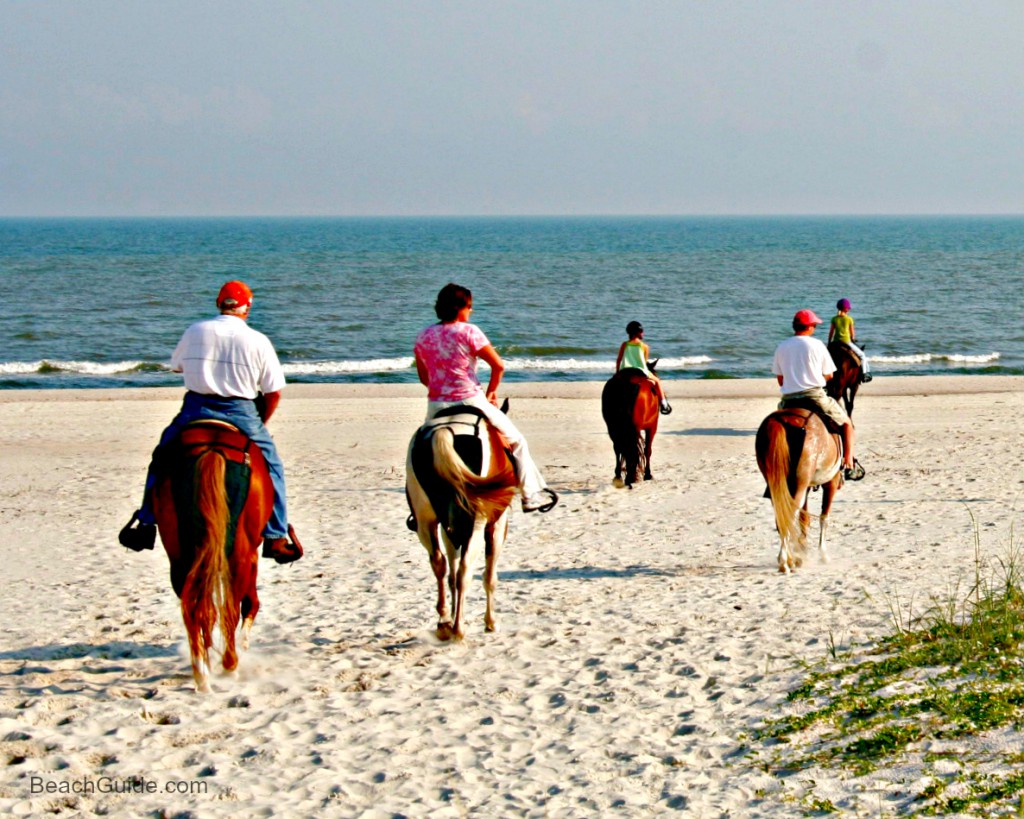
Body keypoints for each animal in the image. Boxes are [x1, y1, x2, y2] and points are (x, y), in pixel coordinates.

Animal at [151, 421, 272, 692]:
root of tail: (212, 450)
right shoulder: (252, 557)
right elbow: (251, 602)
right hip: (241, 553)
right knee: (231, 608)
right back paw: (230, 665)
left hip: (179, 554)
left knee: (195, 609)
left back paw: (203, 672)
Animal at [405, 403, 520, 638]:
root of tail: (445, 431)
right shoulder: (497, 526)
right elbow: (489, 576)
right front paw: (490, 622)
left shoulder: (448, 530)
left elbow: (450, 571)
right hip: (476, 523)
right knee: (465, 570)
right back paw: (458, 629)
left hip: (425, 520)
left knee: (439, 563)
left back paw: (444, 620)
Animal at [757, 405, 843, 573]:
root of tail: (780, 420)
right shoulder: (831, 482)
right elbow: (824, 517)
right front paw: (823, 555)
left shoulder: (806, 488)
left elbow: (804, 519)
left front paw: (803, 550)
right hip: (800, 484)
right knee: (789, 515)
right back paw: (785, 562)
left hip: (778, 485)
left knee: (782, 517)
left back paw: (789, 559)